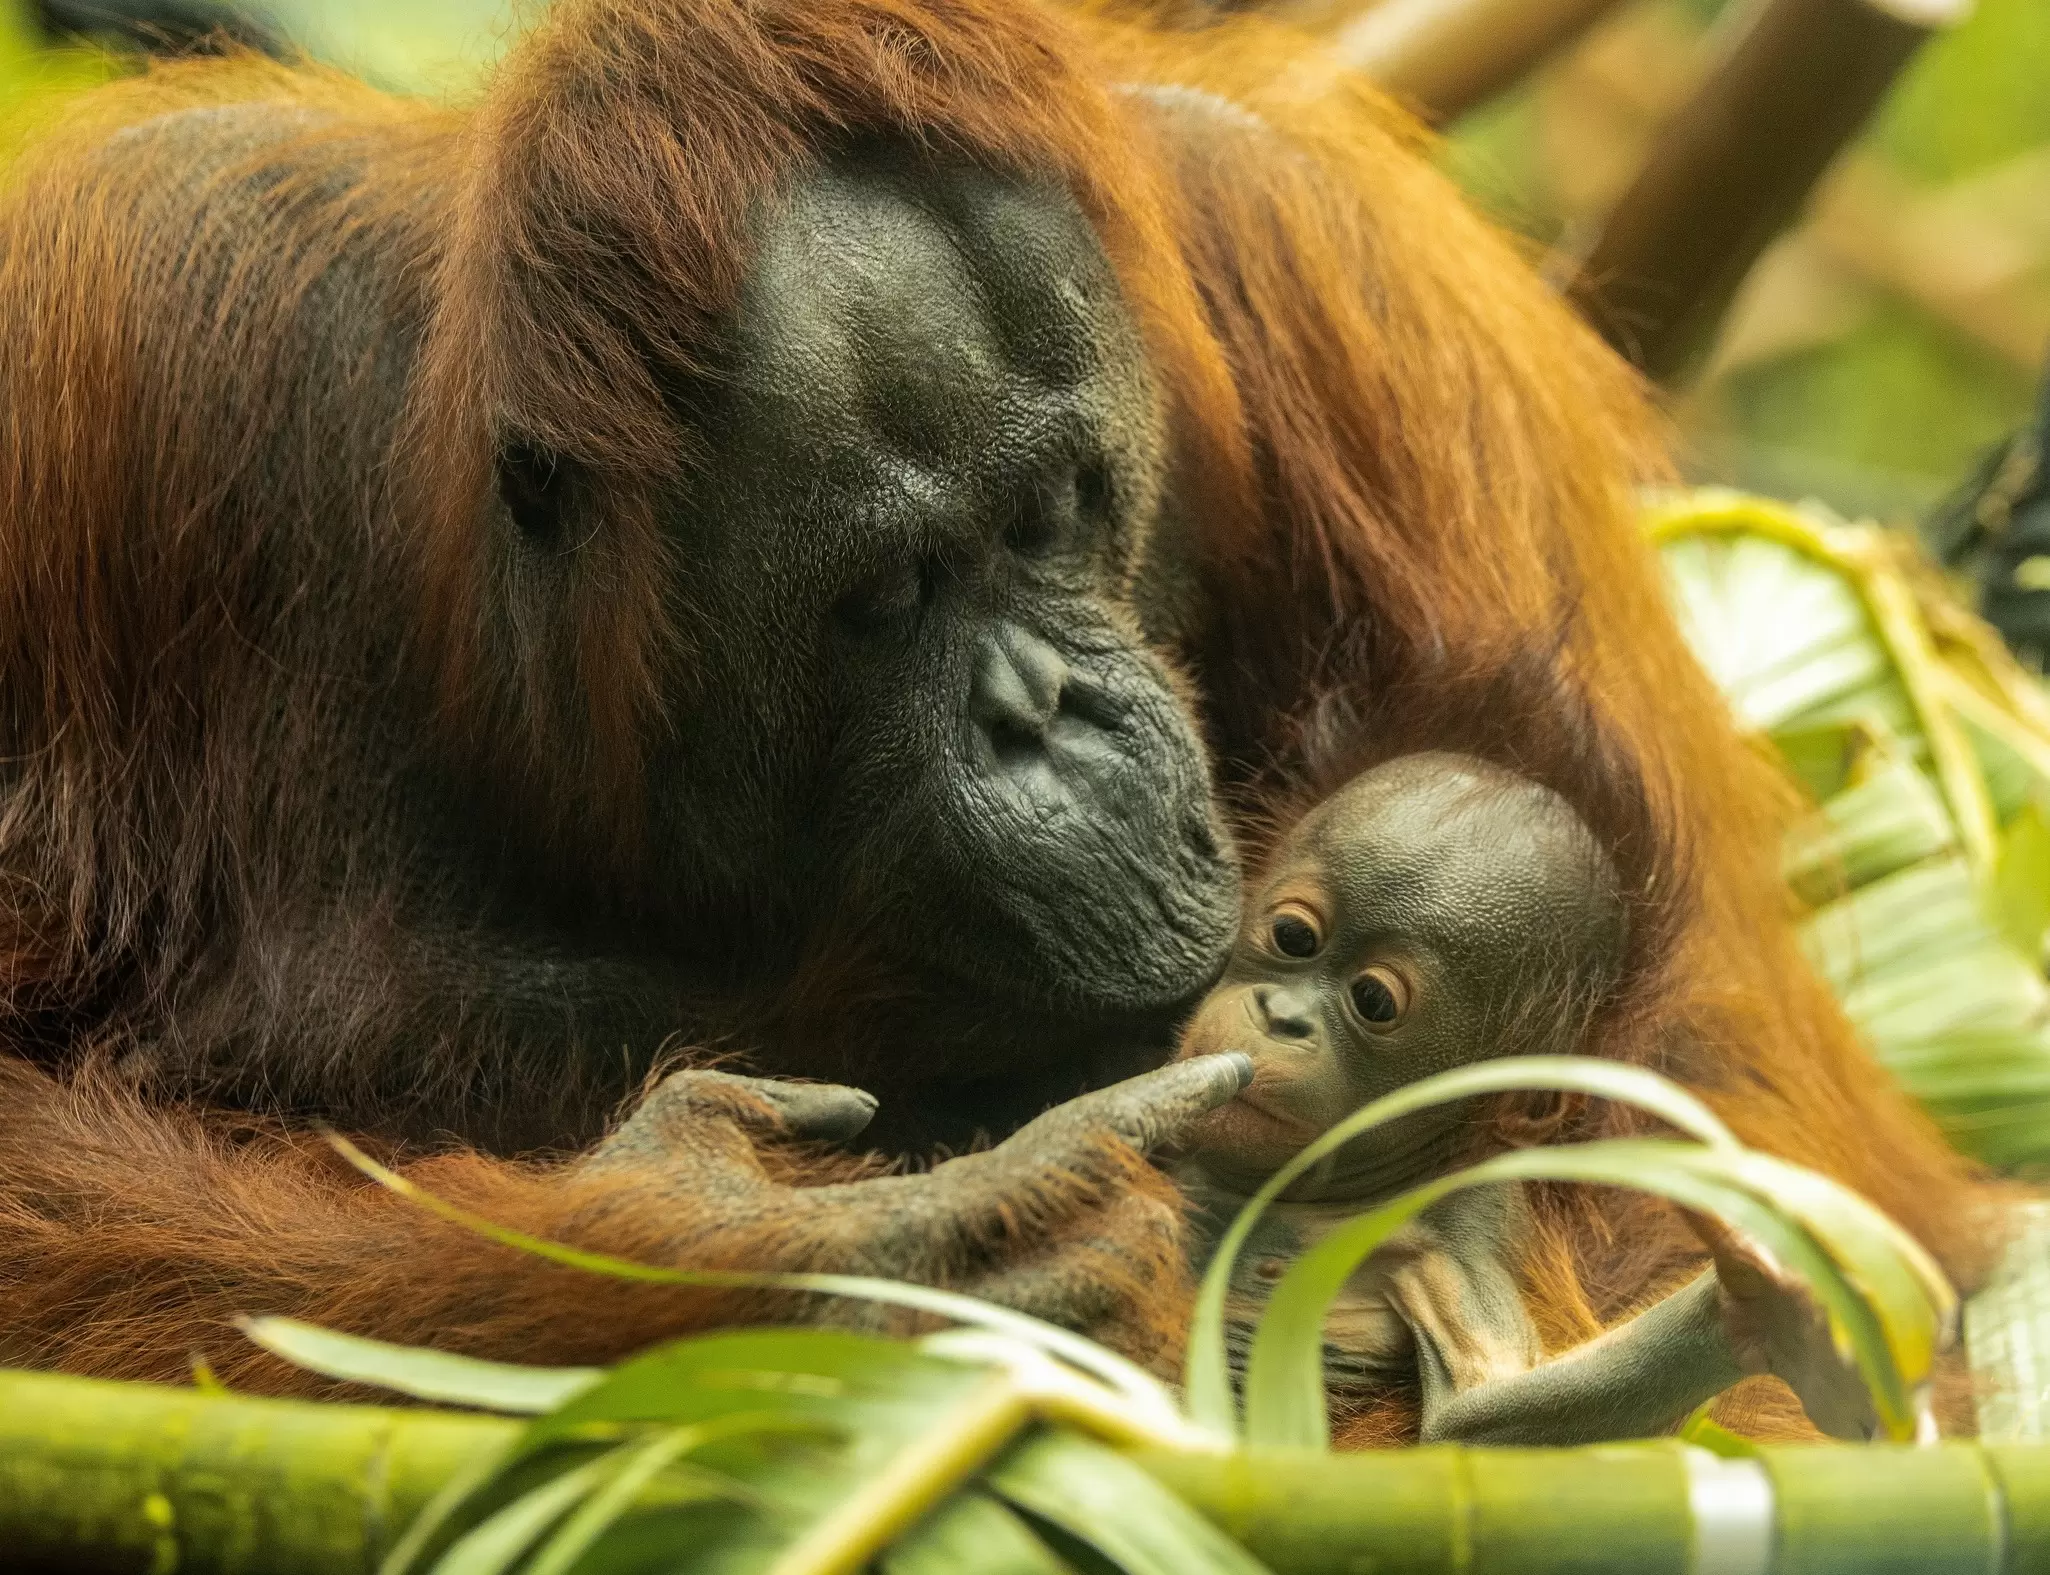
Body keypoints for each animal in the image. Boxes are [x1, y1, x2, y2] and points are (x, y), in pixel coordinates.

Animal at [1174, 753, 1882, 1443]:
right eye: (1293, 935)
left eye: (1373, 1000)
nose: (1281, 1017)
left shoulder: (1469, 1219)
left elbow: (1471, 1417)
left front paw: (1762, 1313)